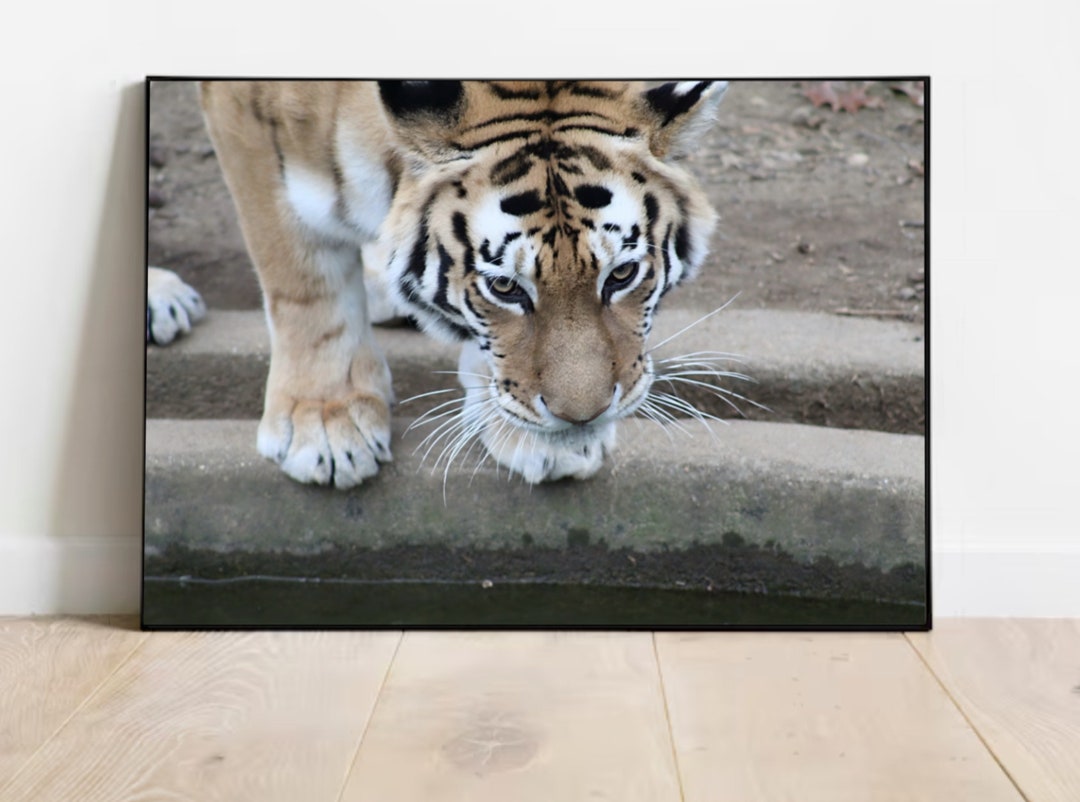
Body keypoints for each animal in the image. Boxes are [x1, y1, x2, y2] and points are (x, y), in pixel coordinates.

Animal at [196, 79, 728, 488]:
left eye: (621, 274)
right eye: (506, 288)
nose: (582, 417)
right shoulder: (246, 123)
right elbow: (303, 284)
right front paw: (325, 423)